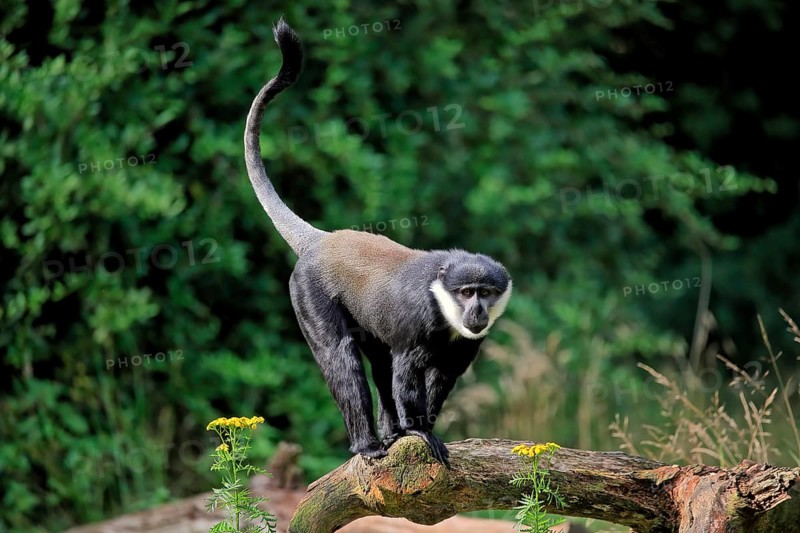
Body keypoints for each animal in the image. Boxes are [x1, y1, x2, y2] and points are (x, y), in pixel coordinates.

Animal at [244, 19, 512, 466]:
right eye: (466, 292)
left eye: (487, 293)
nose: (476, 311)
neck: (443, 302)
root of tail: (321, 240)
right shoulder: (416, 325)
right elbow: (406, 374)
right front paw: (419, 432)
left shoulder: (464, 346)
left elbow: (439, 379)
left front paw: (418, 429)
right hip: (308, 297)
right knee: (343, 360)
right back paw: (368, 444)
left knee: (379, 365)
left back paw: (390, 434)